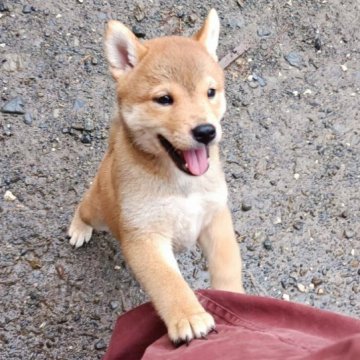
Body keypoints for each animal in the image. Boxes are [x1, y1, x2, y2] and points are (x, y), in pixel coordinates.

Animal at [69, 8, 243, 344]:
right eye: (164, 99)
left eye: (211, 92)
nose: (206, 131)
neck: (183, 185)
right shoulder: (144, 236)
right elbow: (168, 283)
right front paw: (189, 317)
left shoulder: (215, 217)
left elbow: (227, 265)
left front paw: (235, 298)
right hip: (98, 209)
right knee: (83, 206)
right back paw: (78, 227)